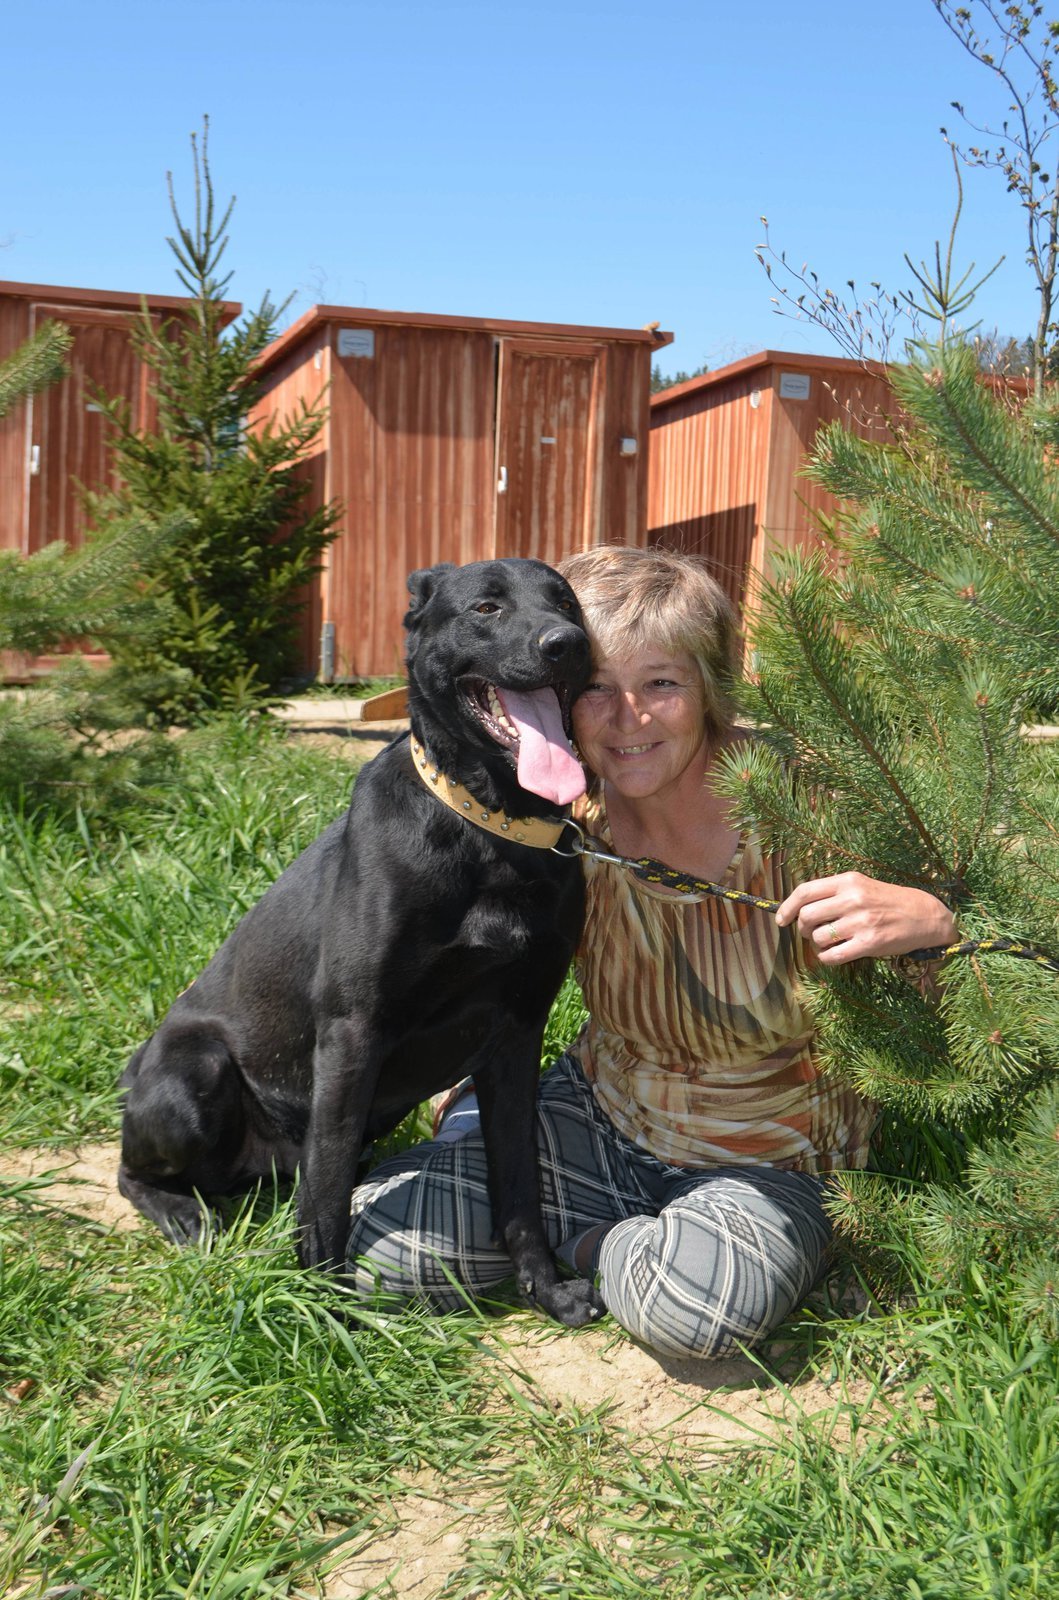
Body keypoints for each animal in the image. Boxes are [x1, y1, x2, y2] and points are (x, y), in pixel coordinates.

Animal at [118, 560, 604, 1324]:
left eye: (566, 603)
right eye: (486, 607)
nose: (567, 644)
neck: (490, 827)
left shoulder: (517, 1036)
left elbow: (521, 1185)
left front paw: (546, 1287)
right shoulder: (353, 1032)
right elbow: (325, 1202)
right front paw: (325, 1311)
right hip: (197, 1074)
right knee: (135, 1170)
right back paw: (181, 1212)